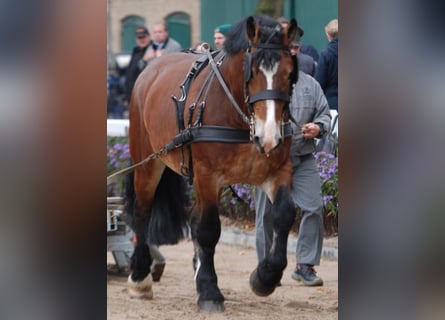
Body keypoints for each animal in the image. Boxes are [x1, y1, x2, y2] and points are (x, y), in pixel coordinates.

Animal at [125, 15, 298, 312]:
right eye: (251, 72)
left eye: (289, 74)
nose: (269, 136)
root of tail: (151, 69)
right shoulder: (207, 175)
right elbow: (208, 229)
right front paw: (209, 290)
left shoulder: (278, 170)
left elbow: (284, 214)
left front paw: (265, 277)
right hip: (147, 162)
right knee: (142, 213)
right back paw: (140, 277)